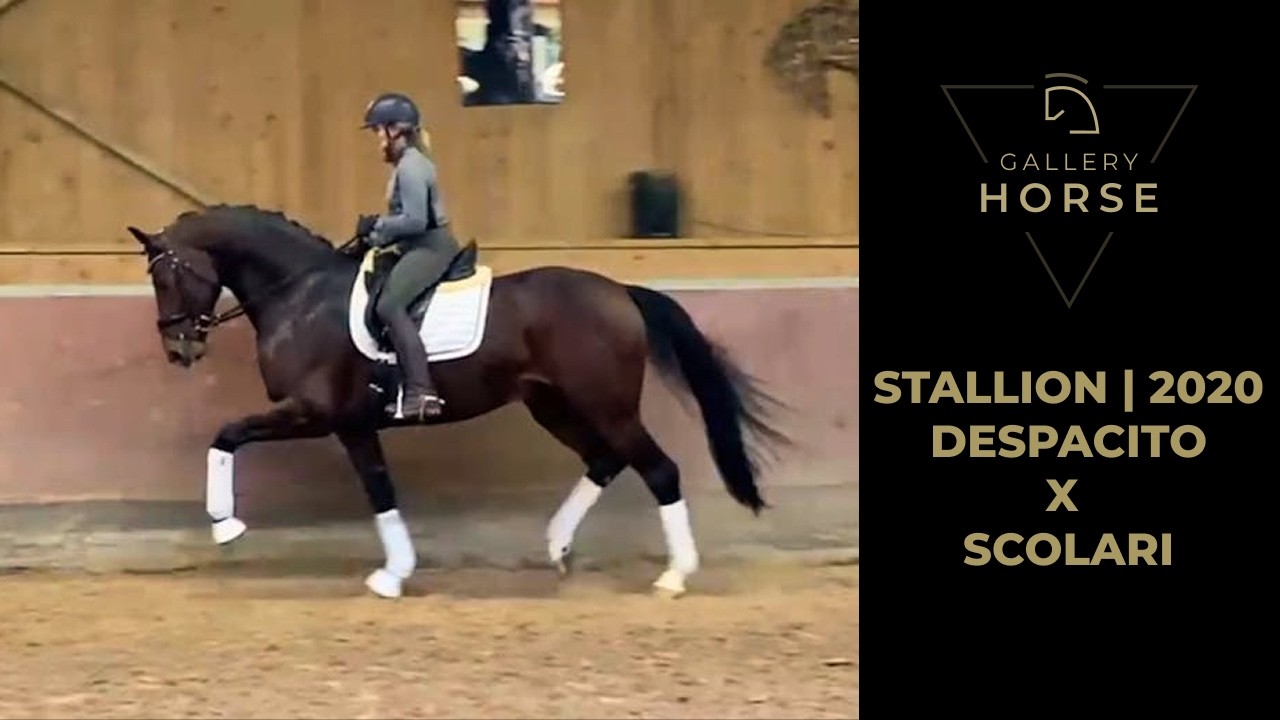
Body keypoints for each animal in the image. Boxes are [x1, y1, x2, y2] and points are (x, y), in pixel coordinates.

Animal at [126, 204, 790, 599]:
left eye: (166, 275)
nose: (179, 348)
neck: (302, 296)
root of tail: (620, 292)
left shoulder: (312, 412)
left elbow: (226, 433)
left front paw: (225, 526)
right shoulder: (352, 424)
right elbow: (380, 491)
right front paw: (394, 573)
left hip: (605, 405)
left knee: (658, 469)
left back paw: (674, 575)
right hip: (554, 405)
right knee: (606, 460)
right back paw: (558, 546)